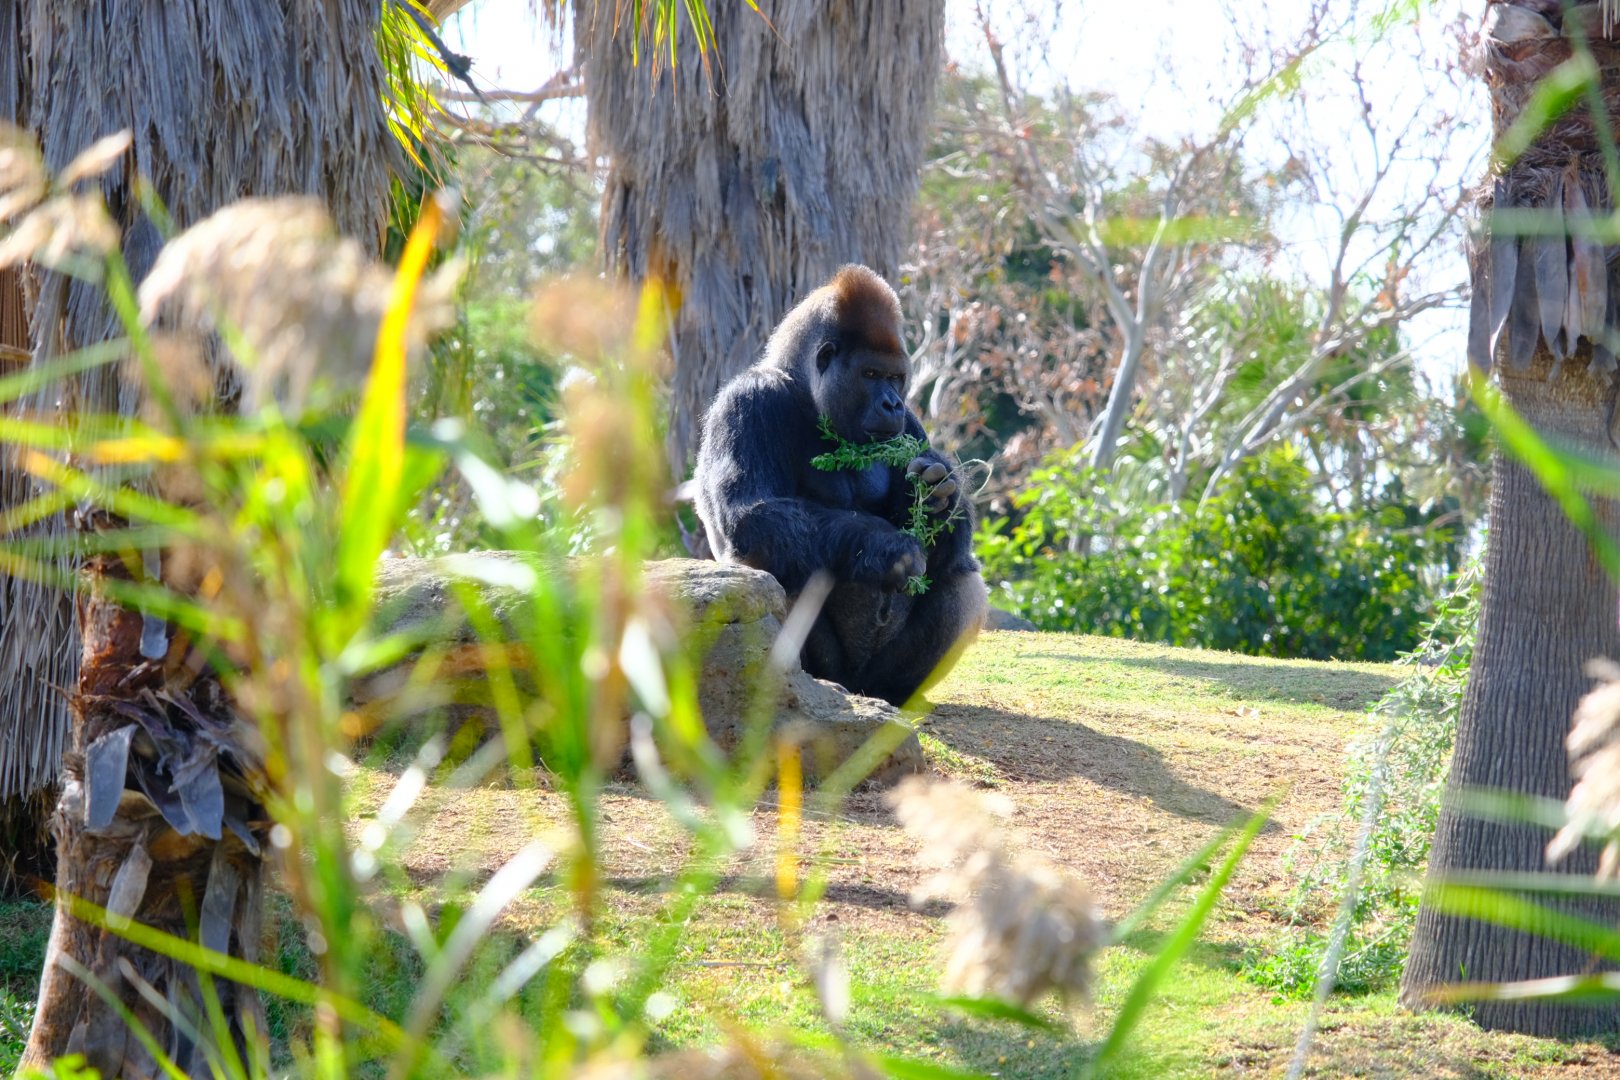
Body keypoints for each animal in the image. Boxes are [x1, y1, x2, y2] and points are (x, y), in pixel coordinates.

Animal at [693, 265, 987, 707]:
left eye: (895, 378)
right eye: (870, 375)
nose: (892, 404)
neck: (802, 389)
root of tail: (857, 686)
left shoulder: (911, 425)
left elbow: (948, 549)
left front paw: (939, 496)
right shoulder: (751, 401)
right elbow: (754, 515)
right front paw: (887, 547)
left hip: (875, 677)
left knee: (960, 576)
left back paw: (897, 694)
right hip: (830, 671)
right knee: (776, 557)